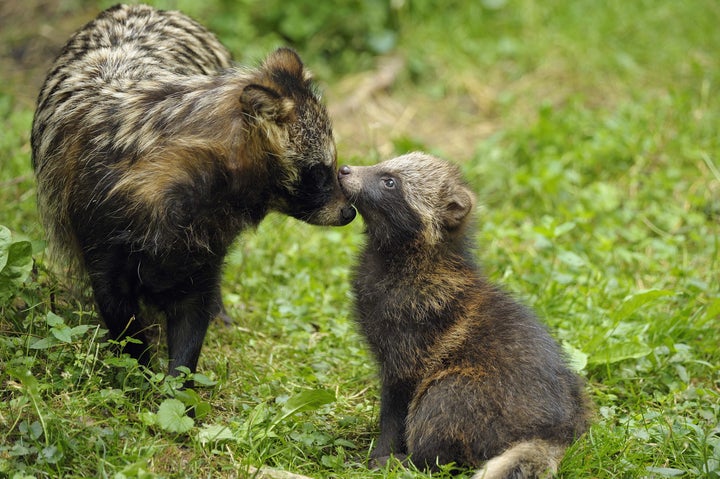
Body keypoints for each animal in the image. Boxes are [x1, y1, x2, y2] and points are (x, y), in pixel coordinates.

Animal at [31, 4, 358, 378]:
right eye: (318, 171)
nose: (349, 211)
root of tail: (144, 7)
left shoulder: (201, 249)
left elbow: (193, 316)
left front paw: (178, 382)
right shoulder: (101, 236)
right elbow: (121, 318)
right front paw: (140, 374)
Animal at [340, 155, 588, 479]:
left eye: (390, 182)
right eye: (383, 164)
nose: (343, 170)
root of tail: (552, 432)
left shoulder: (411, 337)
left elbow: (396, 406)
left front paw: (382, 452)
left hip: (466, 393)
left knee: (439, 414)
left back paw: (411, 461)